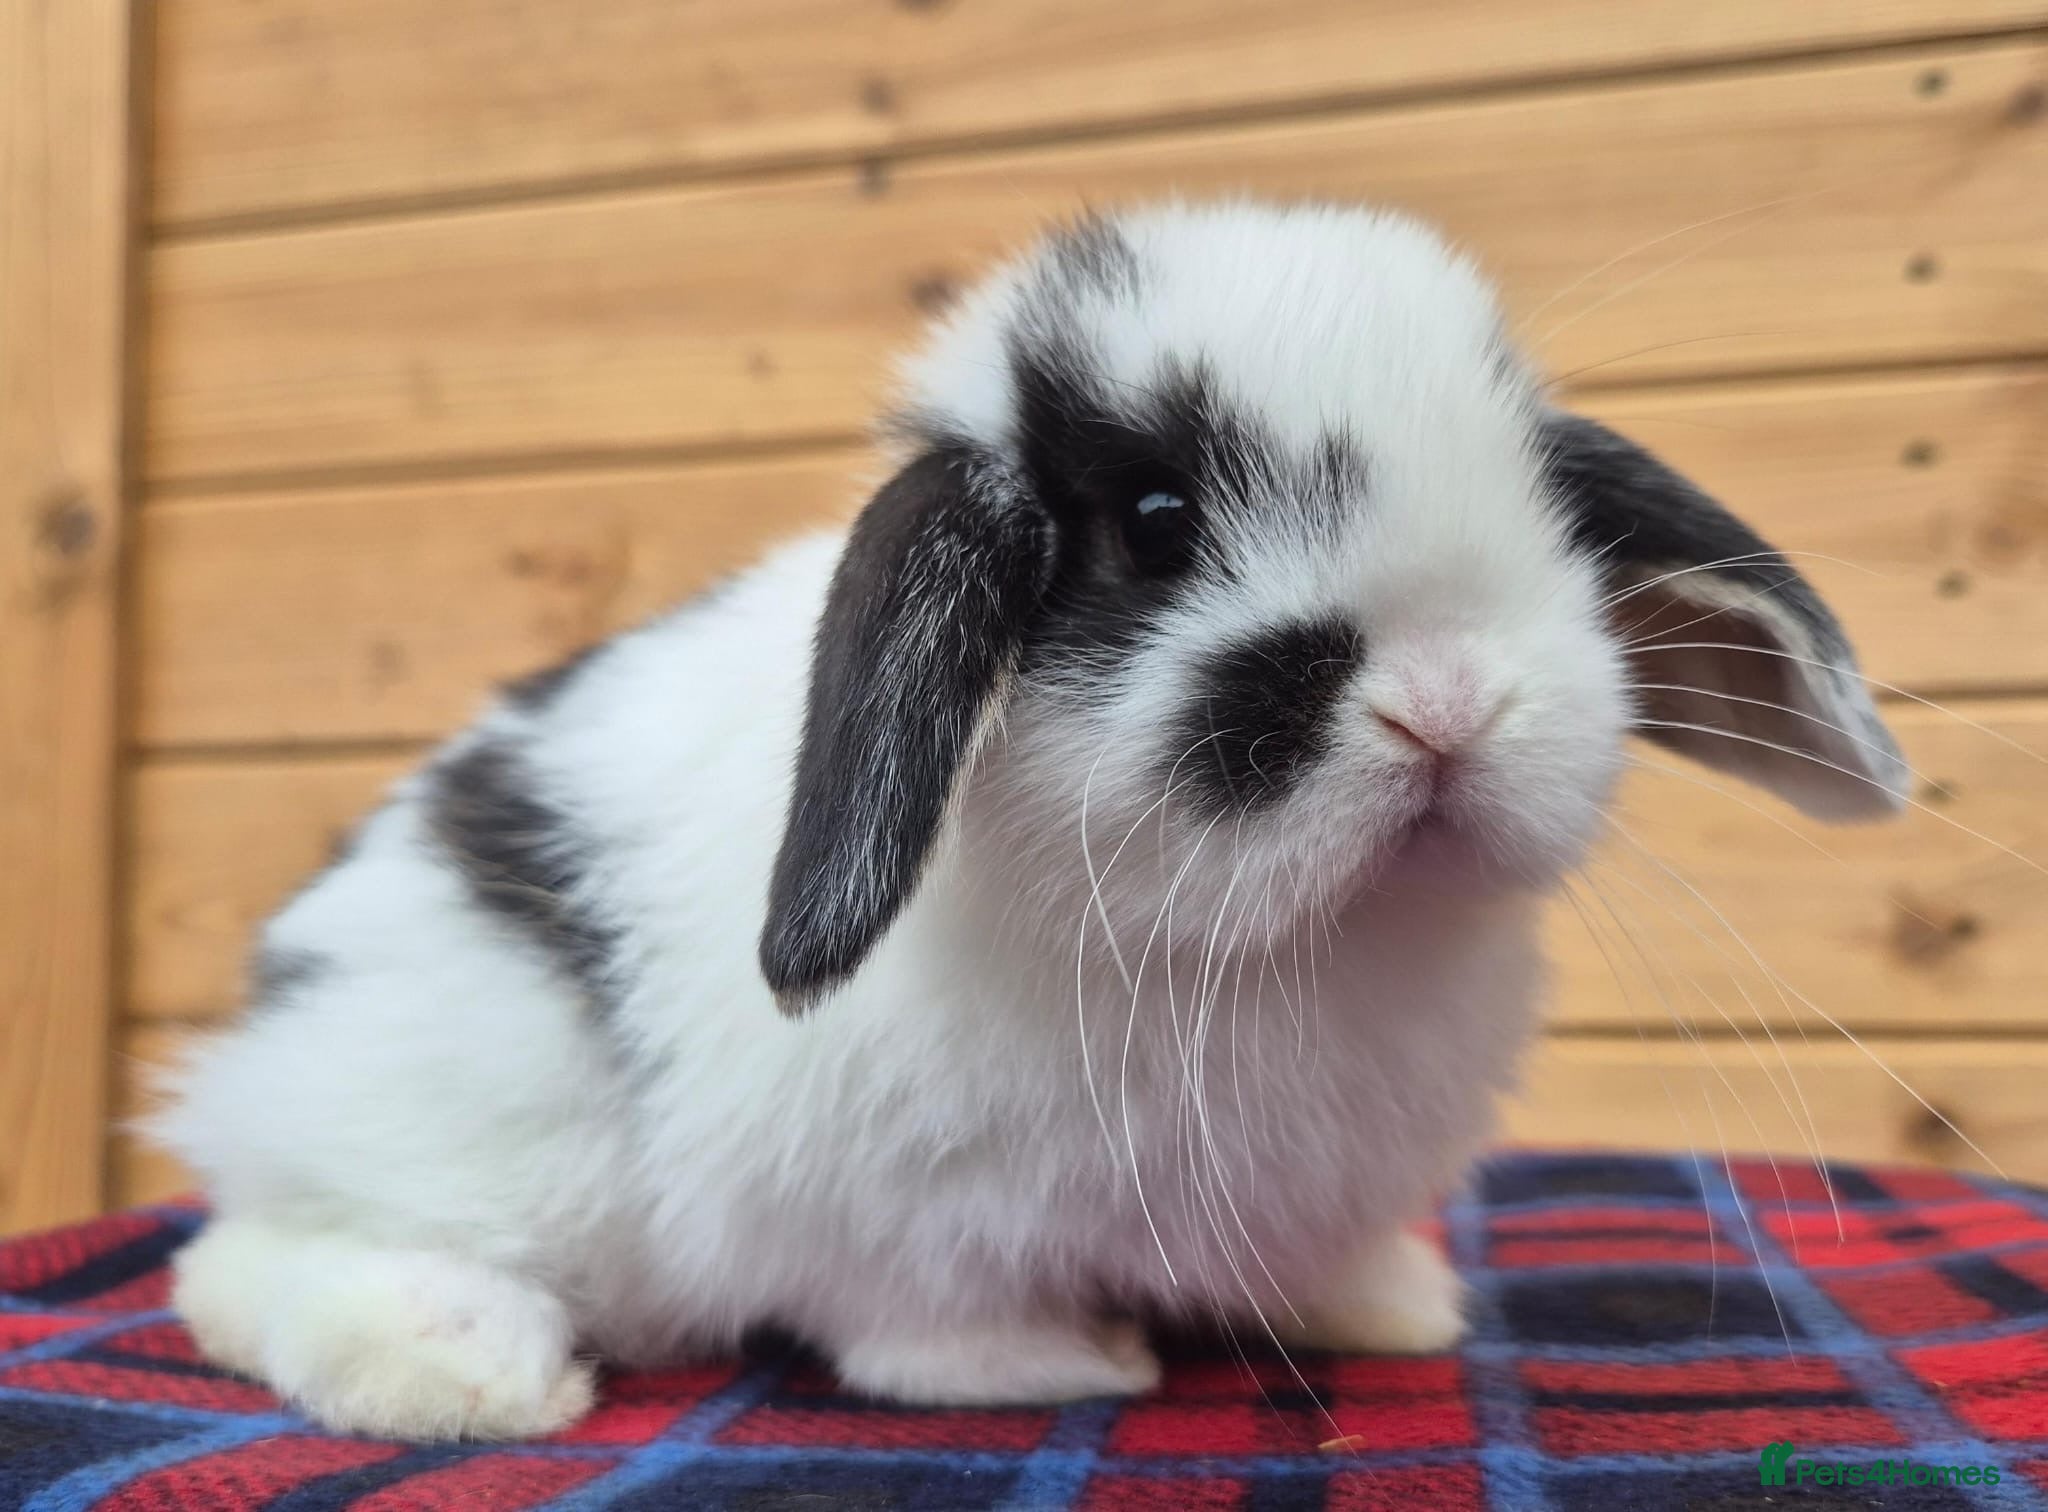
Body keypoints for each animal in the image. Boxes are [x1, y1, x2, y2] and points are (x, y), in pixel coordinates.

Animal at [152, 199, 1909, 1441]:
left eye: (1544, 507)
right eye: (1156, 522)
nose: (1449, 703)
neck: (1286, 946)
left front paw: (1395, 1311)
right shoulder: (893, 1217)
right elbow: (920, 1323)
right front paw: (1052, 1366)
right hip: (471, 1128)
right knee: (243, 1262)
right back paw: (467, 1372)